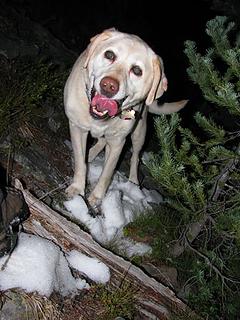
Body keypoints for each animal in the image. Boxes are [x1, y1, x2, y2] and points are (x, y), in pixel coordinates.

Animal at [64, 28, 188, 206]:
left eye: (137, 71)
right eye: (109, 55)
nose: (109, 85)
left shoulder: (118, 143)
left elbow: (107, 173)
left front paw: (97, 197)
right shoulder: (78, 129)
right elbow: (81, 163)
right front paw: (77, 189)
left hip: (139, 134)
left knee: (136, 156)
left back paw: (133, 182)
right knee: (101, 141)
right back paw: (92, 153)